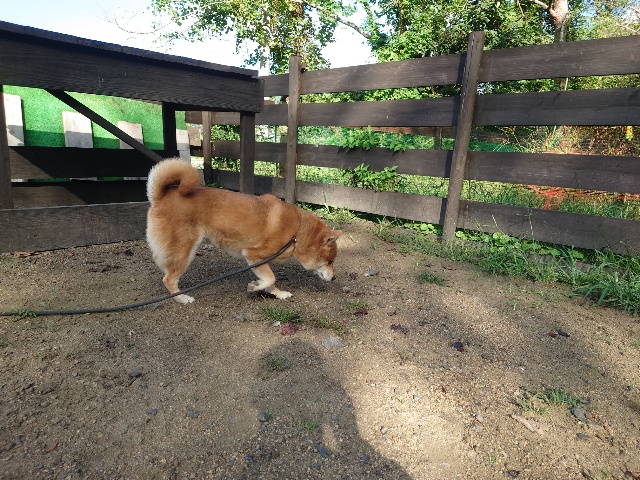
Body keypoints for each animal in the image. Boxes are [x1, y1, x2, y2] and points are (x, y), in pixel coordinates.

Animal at [146, 158, 342, 303]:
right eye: (330, 261)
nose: (334, 279)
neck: (297, 231)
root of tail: (160, 196)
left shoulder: (262, 261)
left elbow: (271, 281)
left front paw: (278, 294)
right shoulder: (253, 255)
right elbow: (270, 278)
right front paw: (255, 286)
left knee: (162, 263)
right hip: (186, 251)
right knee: (169, 279)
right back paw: (182, 298)